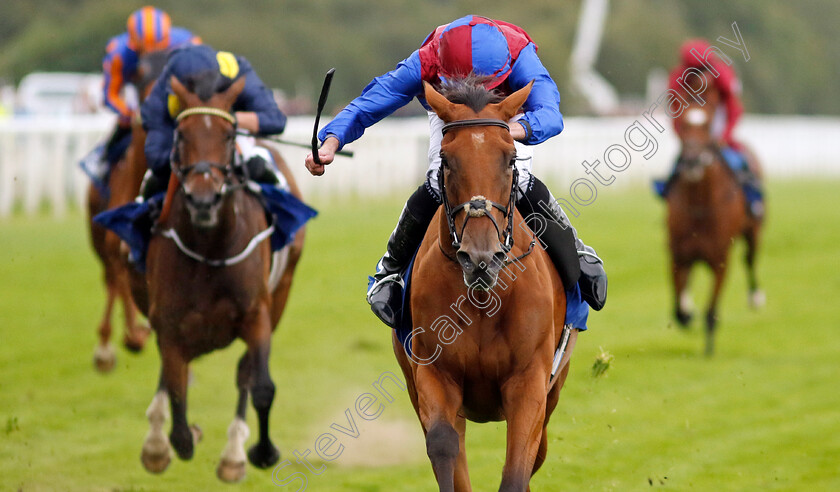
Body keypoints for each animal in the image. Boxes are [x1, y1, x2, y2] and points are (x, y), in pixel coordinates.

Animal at [87, 51, 169, 372]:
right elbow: (120, 273)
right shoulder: (115, 236)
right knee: (110, 277)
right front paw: (134, 334)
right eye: (142, 72)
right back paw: (106, 346)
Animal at [136, 75, 306, 482]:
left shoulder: (257, 315)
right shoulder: (168, 322)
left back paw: (233, 454)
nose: (203, 200)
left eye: (229, 136)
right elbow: (178, 399)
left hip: (281, 294)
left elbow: (260, 386)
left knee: (245, 373)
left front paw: (261, 451)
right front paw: (168, 441)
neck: (211, 248)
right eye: (181, 135)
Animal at [392, 81, 576, 492]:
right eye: (446, 161)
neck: (482, 299)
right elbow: (444, 446)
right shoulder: (434, 375)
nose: (481, 257)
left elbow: (517, 470)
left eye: (509, 158)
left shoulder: (530, 382)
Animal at [668, 82, 764, 356]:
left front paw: (709, 348)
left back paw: (756, 297)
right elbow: (679, 310)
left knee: (750, 259)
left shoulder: (721, 259)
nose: (691, 161)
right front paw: (687, 310)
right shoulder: (678, 254)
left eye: (708, 124)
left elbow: (711, 311)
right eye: (684, 124)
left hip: (754, 231)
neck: (700, 205)